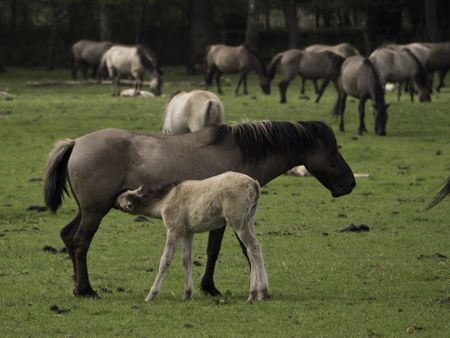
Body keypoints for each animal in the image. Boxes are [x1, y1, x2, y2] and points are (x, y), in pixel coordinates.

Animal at [116, 173, 270, 302]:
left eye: (129, 195)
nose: (117, 197)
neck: (167, 197)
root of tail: (254, 184)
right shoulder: (188, 233)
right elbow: (186, 260)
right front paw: (187, 294)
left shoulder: (174, 230)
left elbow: (165, 260)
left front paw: (151, 294)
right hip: (249, 222)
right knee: (250, 250)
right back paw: (253, 293)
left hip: (238, 223)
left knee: (254, 248)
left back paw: (262, 292)